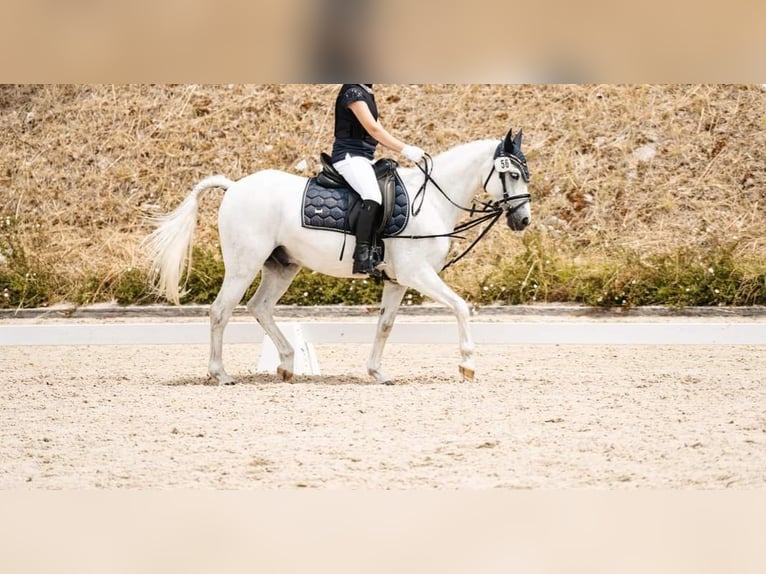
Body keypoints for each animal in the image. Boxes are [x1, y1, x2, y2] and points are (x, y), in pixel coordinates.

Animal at [146, 127, 536, 388]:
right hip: (244, 265)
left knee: (259, 307)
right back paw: (221, 374)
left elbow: (384, 325)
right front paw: (468, 364)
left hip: (282, 266)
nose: (523, 221)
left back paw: (287, 364)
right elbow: (460, 306)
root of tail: (236, 186)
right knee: (220, 311)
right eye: (513, 174)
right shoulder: (417, 273)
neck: (432, 200)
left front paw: (377, 372)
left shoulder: (398, 281)